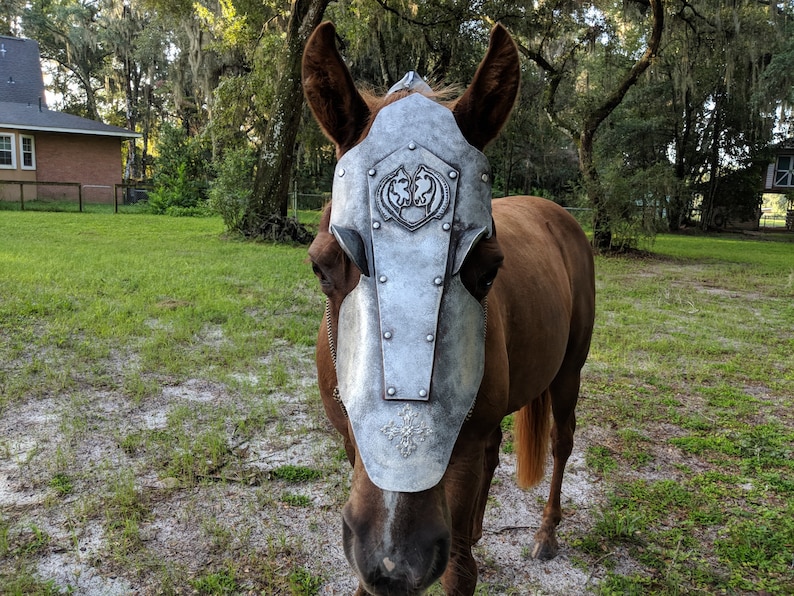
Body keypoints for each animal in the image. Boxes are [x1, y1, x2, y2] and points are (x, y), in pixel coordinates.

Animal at [303, 21, 595, 596]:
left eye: (488, 270)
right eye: (323, 268)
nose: (395, 558)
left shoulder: (459, 455)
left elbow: (460, 568)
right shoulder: (353, 442)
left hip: (569, 372)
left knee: (561, 443)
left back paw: (546, 533)